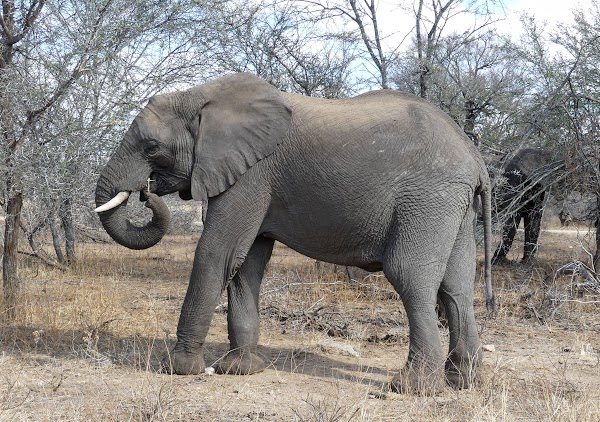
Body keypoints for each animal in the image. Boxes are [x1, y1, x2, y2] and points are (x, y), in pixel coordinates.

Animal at [95, 73, 492, 396]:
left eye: (151, 148)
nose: (145, 192)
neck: (198, 97)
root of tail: (475, 158)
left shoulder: (250, 175)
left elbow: (217, 253)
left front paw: (179, 369)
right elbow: (246, 262)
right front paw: (240, 371)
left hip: (427, 199)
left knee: (410, 276)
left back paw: (411, 389)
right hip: (454, 206)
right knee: (457, 285)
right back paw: (462, 382)